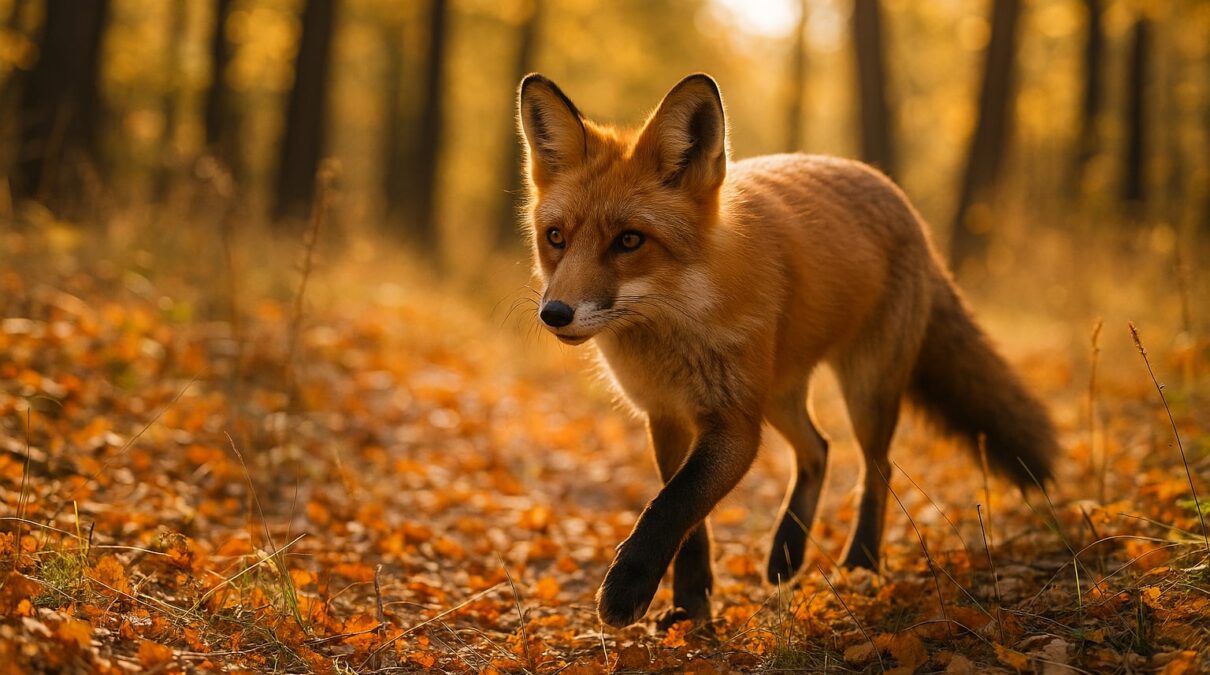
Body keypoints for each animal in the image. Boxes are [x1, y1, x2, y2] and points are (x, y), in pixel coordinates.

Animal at [516, 72, 1061, 629]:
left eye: (629, 240)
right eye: (555, 237)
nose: (555, 313)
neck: (677, 324)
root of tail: (898, 197)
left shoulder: (735, 424)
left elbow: (671, 506)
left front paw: (628, 588)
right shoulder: (665, 415)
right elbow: (689, 524)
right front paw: (691, 607)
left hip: (864, 390)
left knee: (876, 467)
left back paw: (861, 562)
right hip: (779, 397)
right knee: (819, 449)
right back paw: (786, 553)